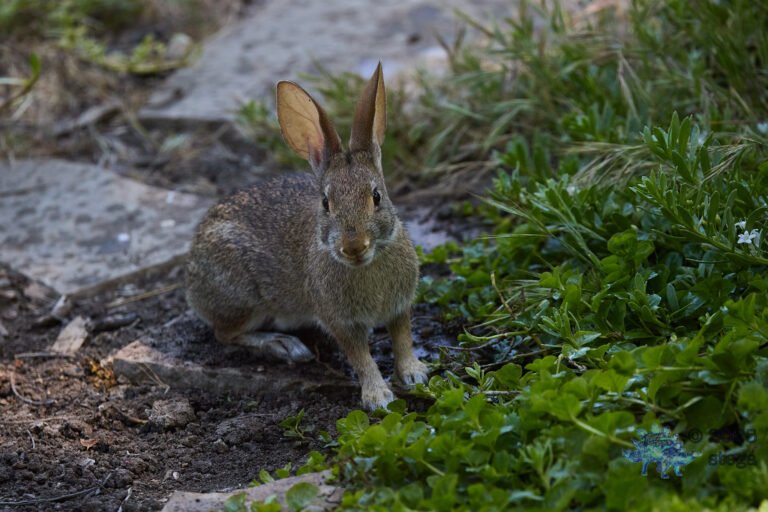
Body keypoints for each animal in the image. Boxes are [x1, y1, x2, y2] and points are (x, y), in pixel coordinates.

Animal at [185, 63, 429, 410]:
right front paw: (378, 397)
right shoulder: (339, 321)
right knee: (225, 334)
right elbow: (361, 358)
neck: (366, 265)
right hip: (243, 297)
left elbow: (402, 339)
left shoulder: (400, 307)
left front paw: (414, 373)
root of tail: (190, 279)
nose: (353, 246)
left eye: (376, 196)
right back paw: (283, 345)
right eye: (326, 203)